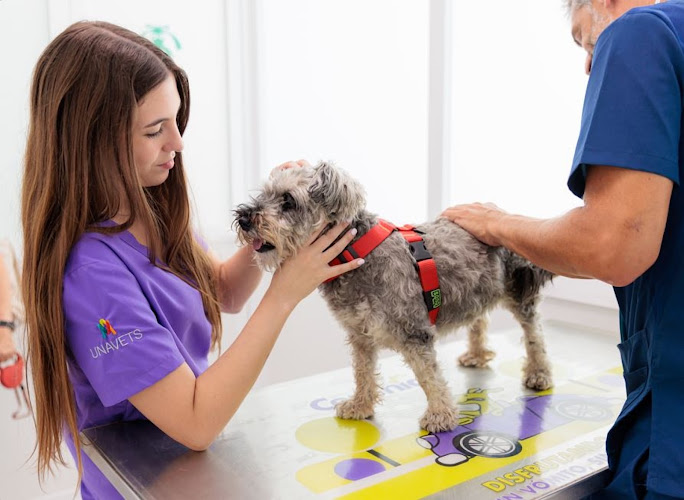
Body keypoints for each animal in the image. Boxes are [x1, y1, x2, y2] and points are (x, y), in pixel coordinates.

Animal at [234, 162, 554, 432]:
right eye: (264, 193)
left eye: (288, 200)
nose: (243, 217)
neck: (357, 254)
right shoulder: (359, 334)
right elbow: (362, 371)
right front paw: (360, 405)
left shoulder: (414, 332)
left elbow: (428, 375)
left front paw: (440, 414)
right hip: (476, 289)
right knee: (479, 318)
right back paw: (476, 354)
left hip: (518, 293)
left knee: (534, 333)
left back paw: (538, 372)